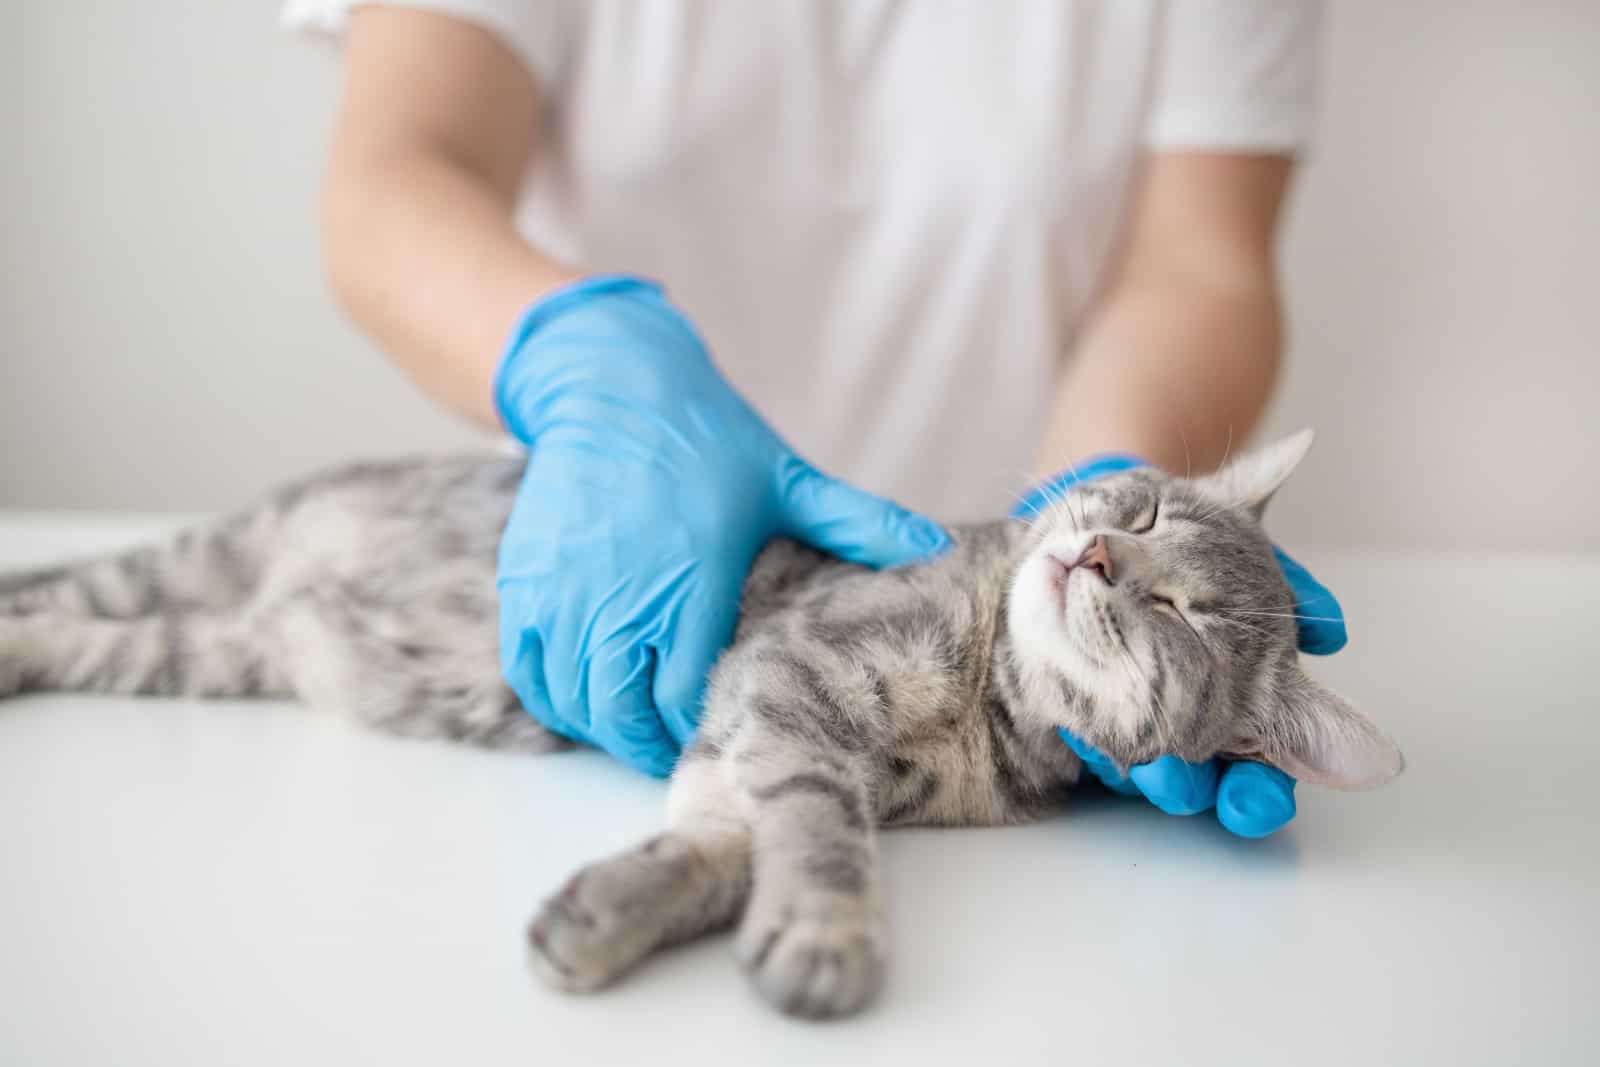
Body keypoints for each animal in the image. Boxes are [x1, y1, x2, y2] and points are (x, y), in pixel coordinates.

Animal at [0, 428, 1401, 1017]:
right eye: (1147, 510)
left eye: (1182, 614)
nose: (1097, 553)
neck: (987, 691)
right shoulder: (784, 679)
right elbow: (819, 835)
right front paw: (829, 933)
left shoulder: (758, 739)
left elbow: (727, 846)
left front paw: (611, 912)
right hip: (191, 564)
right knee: (67, 585)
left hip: (203, 643)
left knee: (100, 630)